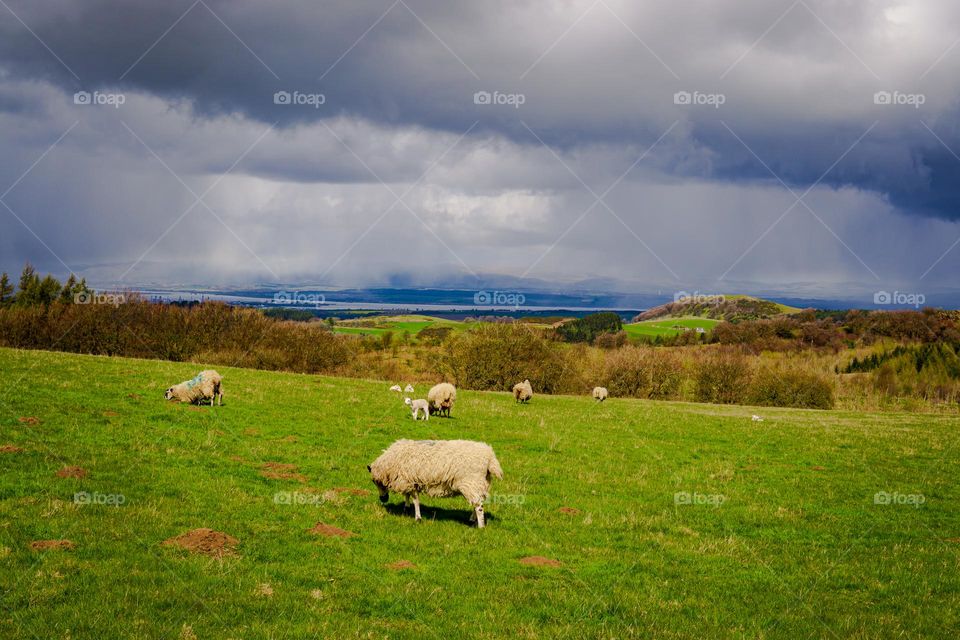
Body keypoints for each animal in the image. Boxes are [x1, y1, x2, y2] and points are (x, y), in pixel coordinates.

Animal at [366, 440, 502, 528]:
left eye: (376, 481)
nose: (383, 499)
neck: (390, 464)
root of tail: (489, 457)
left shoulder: (411, 481)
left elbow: (415, 499)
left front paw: (418, 518)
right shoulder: (408, 480)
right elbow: (407, 495)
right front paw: (406, 508)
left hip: (471, 482)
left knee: (479, 505)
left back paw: (480, 526)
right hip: (480, 483)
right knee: (478, 502)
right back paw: (472, 519)